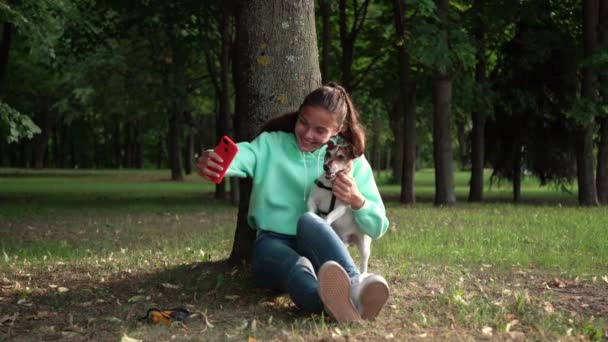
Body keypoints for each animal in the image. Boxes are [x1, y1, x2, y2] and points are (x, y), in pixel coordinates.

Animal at [306, 141, 372, 272]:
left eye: (341, 157)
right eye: (328, 154)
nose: (326, 166)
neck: (331, 186)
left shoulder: (341, 208)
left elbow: (329, 216)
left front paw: (324, 223)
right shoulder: (312, 200)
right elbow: (311, 211)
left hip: (364, 247)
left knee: (364, 262)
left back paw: (363, 273)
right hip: (343, 242)